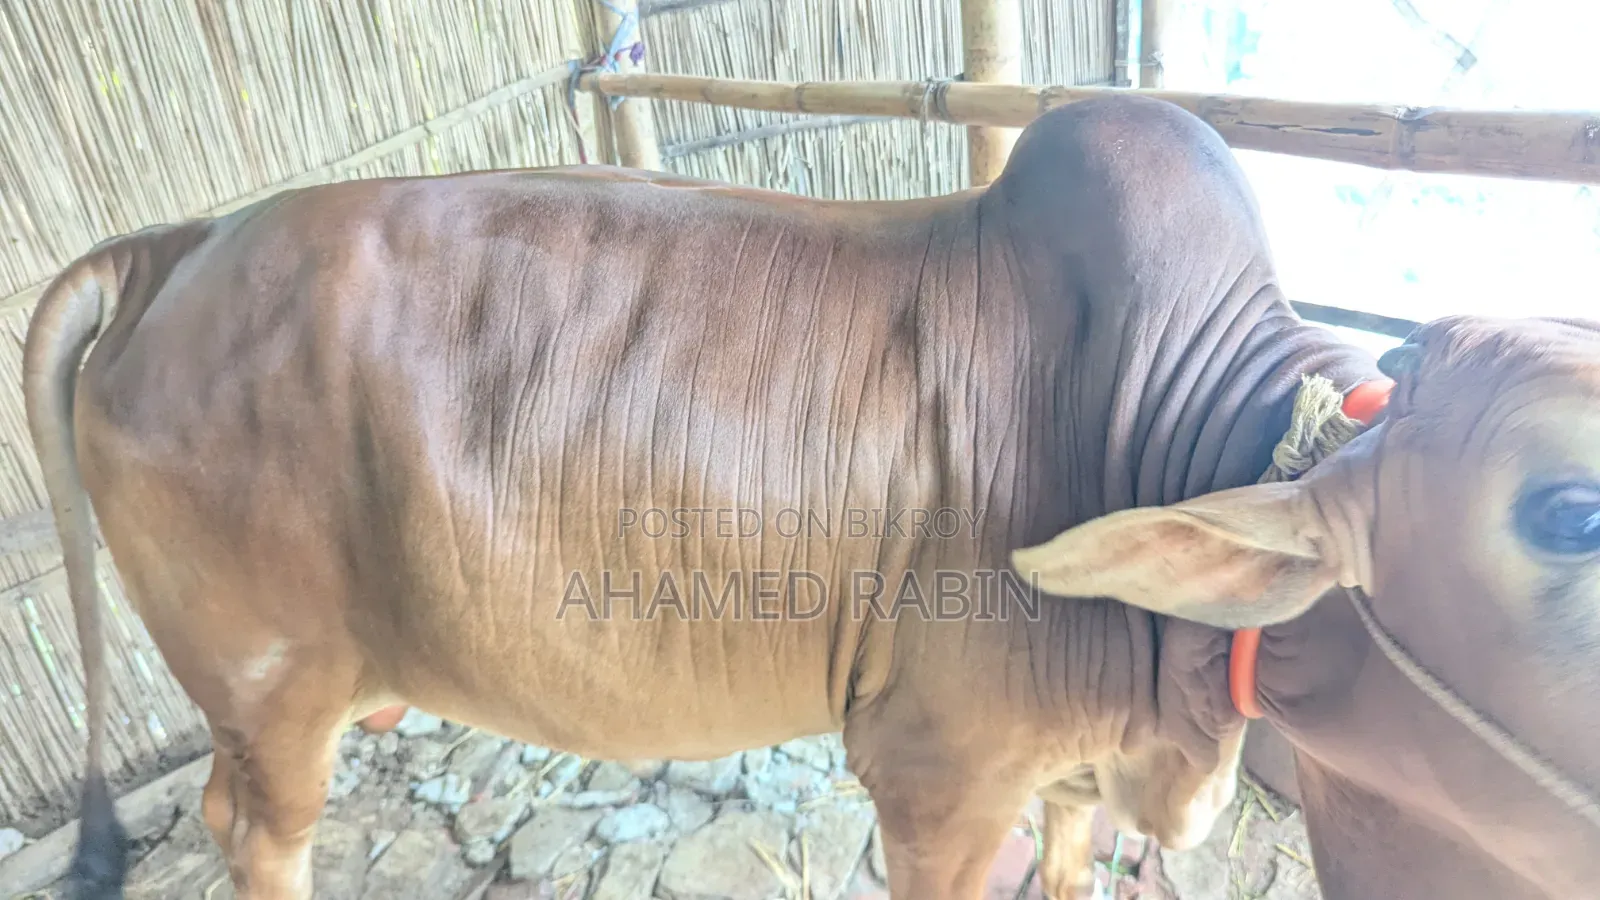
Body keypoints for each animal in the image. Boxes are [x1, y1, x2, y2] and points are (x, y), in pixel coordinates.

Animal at [22, 93, 1600, 900]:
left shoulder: (1071, 774)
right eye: (1568, 512)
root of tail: (175, 243)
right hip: (271, 686)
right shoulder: (937, 782)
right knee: (256, 835)